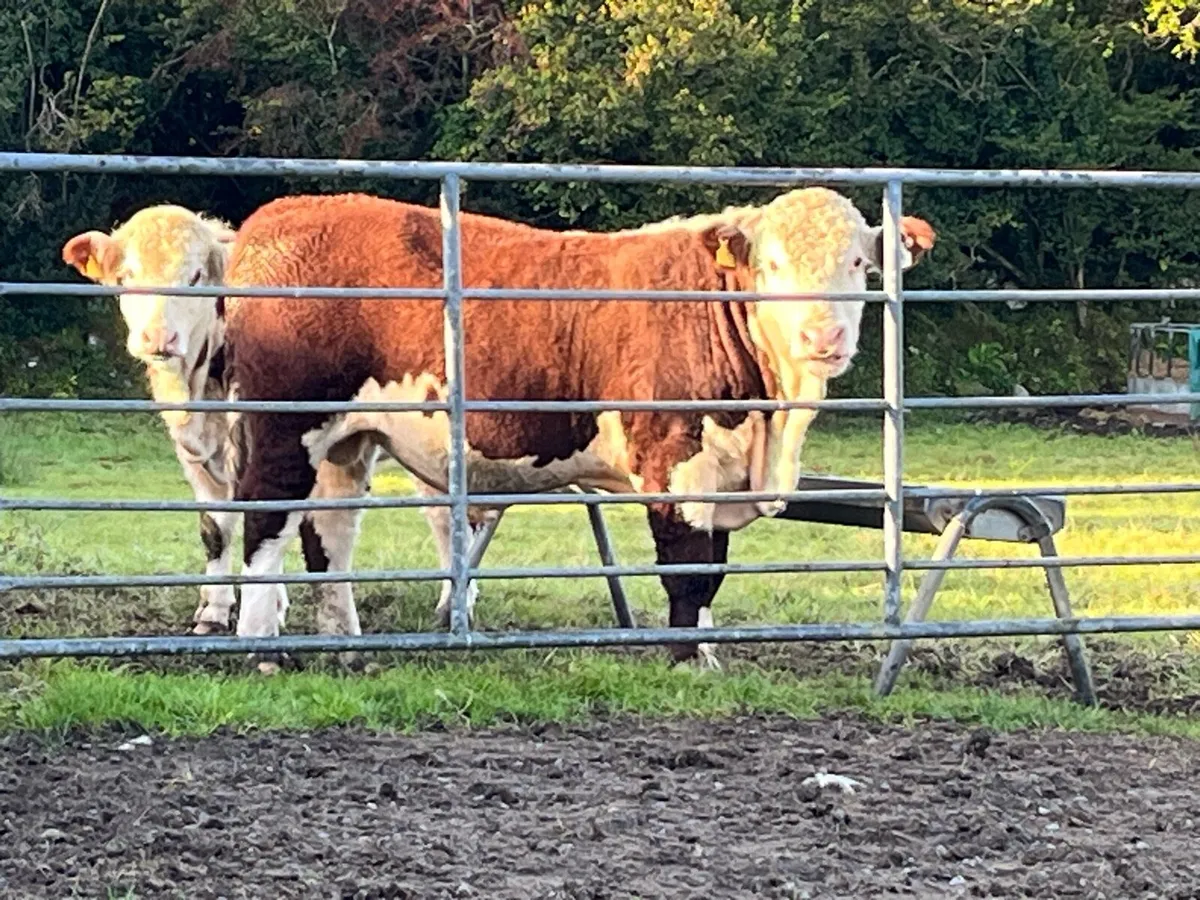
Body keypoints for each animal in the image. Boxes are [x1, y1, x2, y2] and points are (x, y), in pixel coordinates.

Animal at [222, 186, 936, 667]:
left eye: (858, 265)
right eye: (774, 266)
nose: (824, 337)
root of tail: (282, 214)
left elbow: (714, 570)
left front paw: (706, 654)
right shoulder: (674, 458)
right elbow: (688, 567)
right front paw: (687, 661)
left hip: (349, 440)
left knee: (330, 534)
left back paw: (344, 645)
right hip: (285, 425)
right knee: (264, 519)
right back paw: (262, 651)